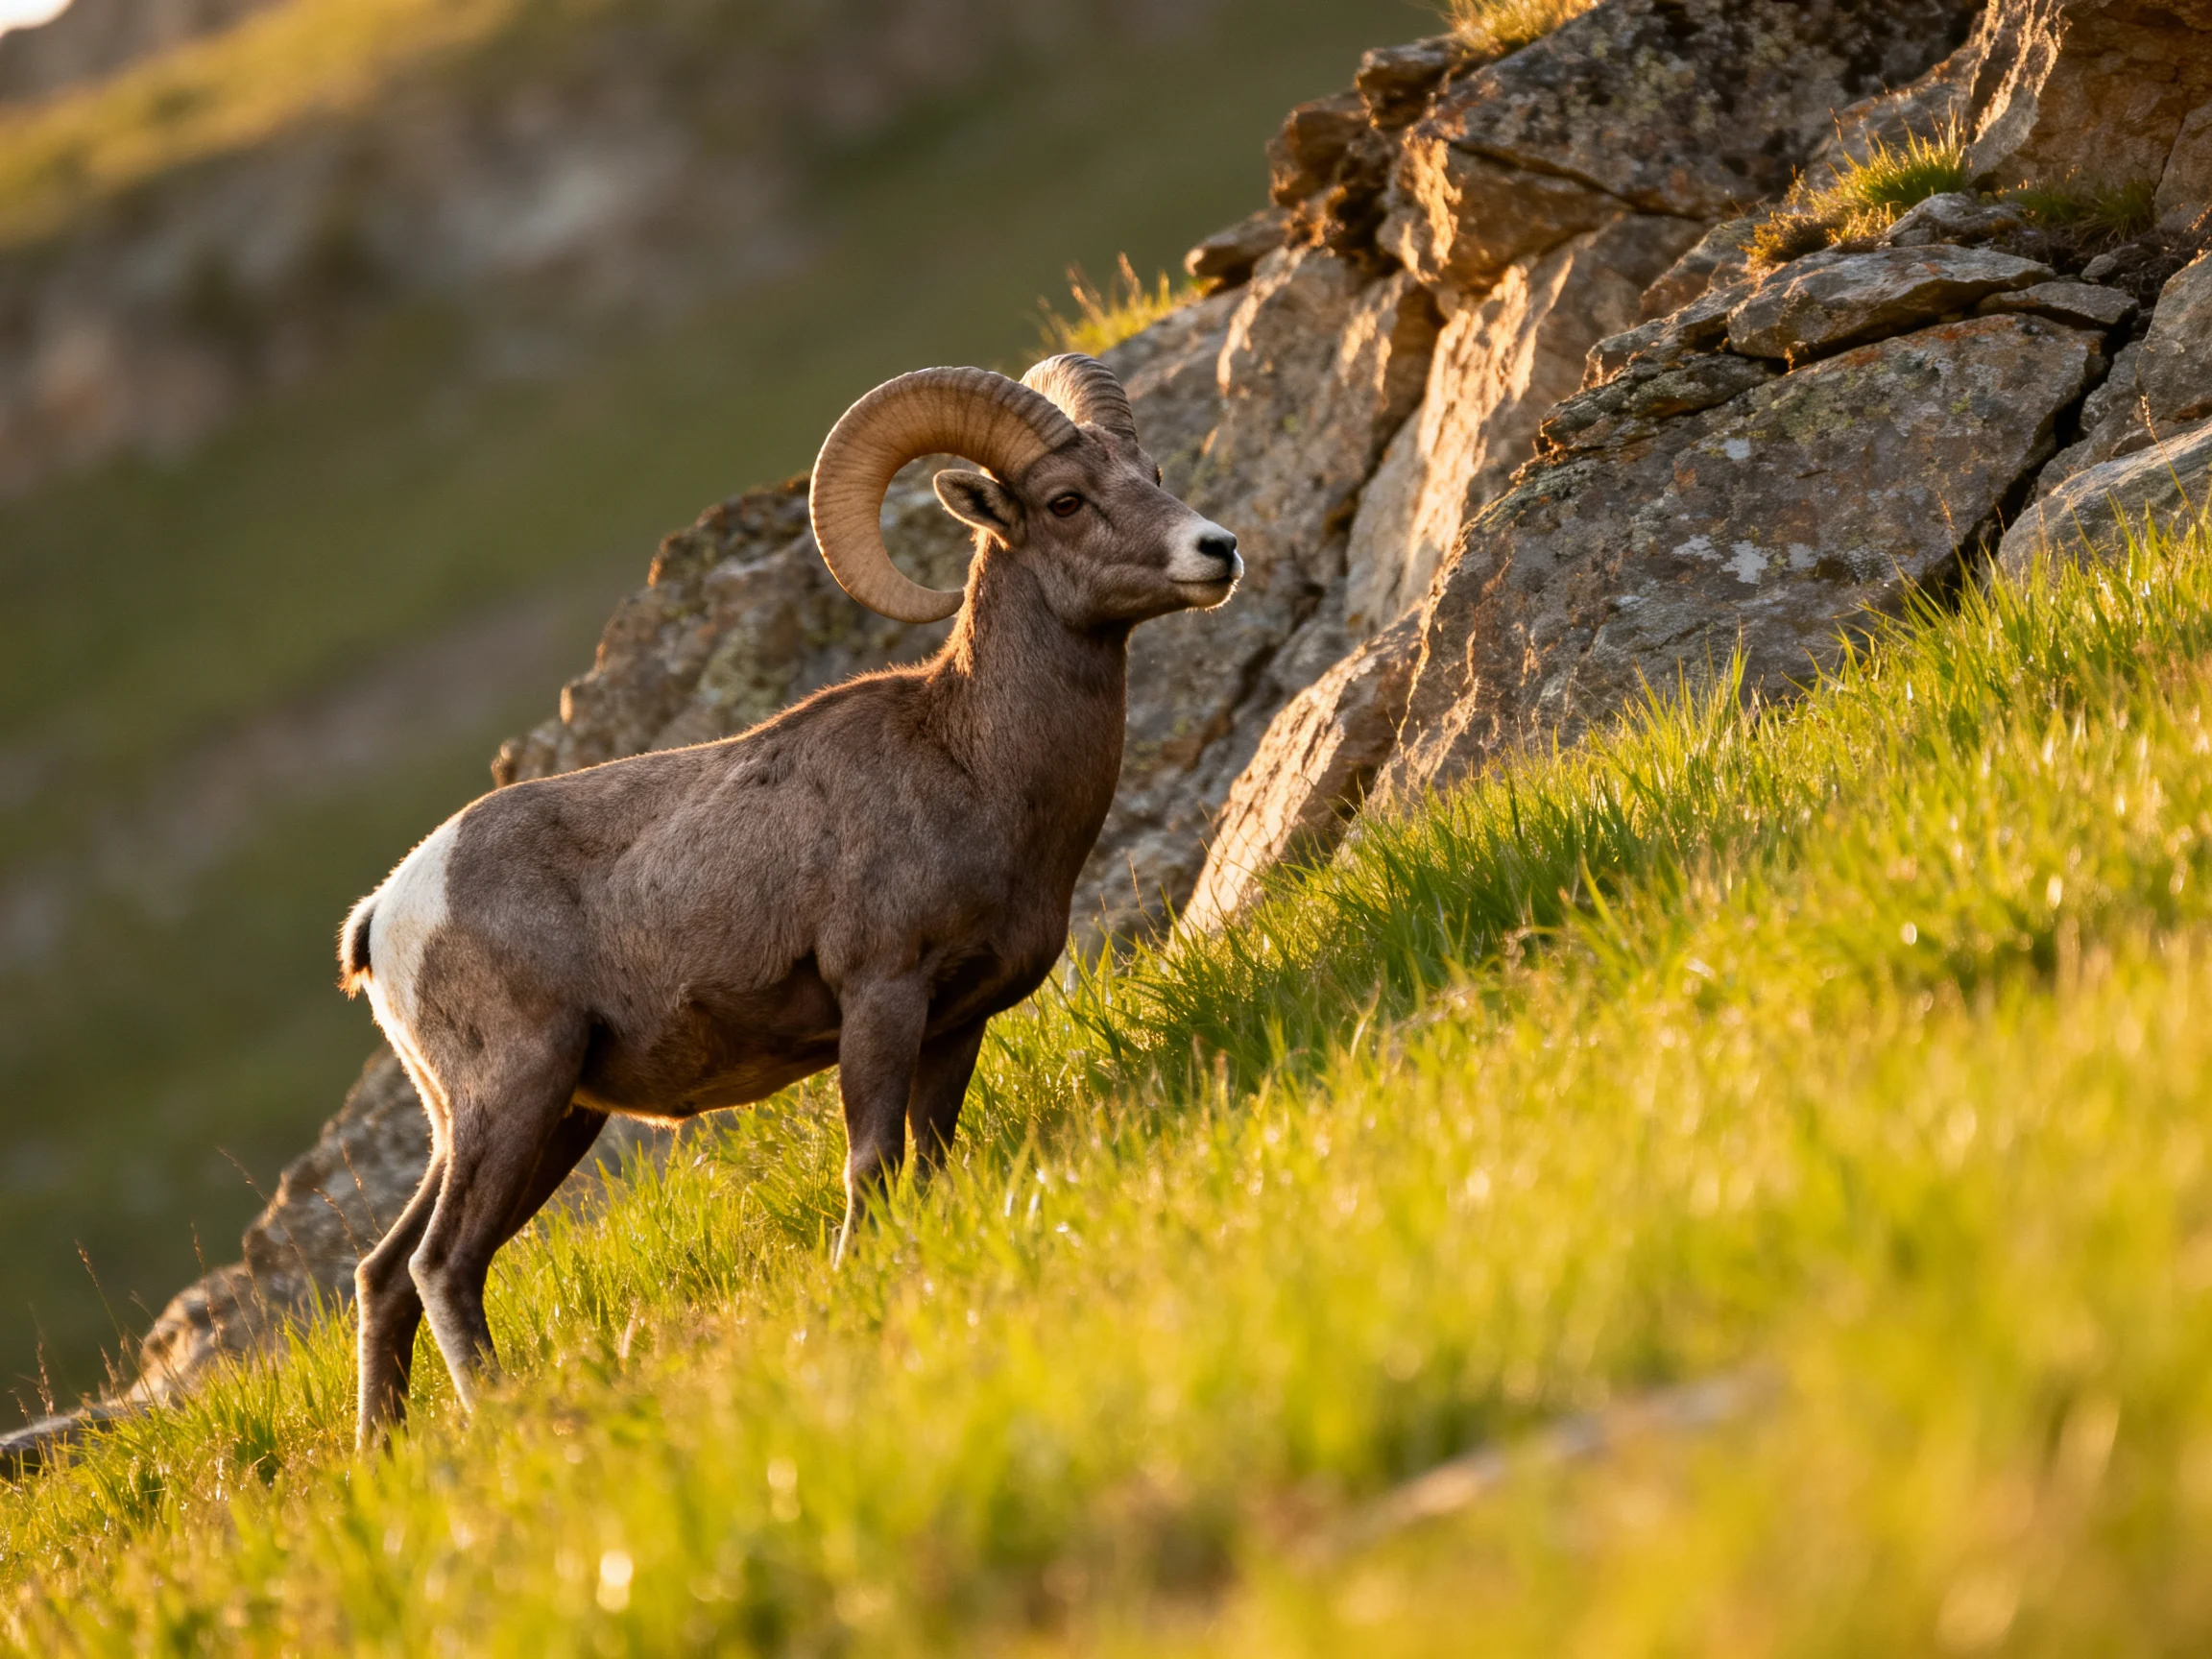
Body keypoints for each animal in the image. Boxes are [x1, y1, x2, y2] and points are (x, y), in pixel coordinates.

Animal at [336, 353, 1242, 1446]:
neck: (970, 763)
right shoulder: (882, 995)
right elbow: (871, 1163)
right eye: (1066, 500)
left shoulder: (958, 1023)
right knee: (443, 1266)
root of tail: (388, 914)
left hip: (523, 1119)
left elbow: (927, 1161)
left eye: (1150, 472)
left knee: (386, 1275)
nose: (1218, 550)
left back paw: (384, 1456)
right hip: (515, 1093)